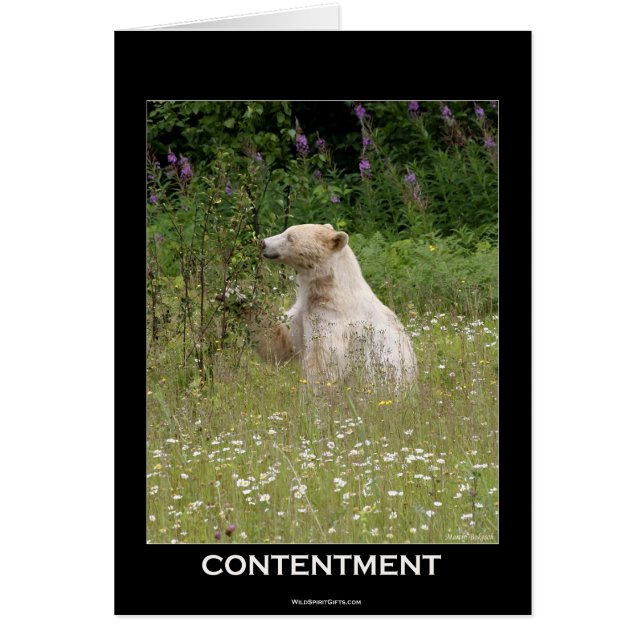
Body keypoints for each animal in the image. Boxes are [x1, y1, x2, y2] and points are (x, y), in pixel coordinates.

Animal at [254, 223, 417, 387]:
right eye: (286, 231)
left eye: (290, 237)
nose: (262, 243)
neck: (330, 290)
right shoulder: (303, 310)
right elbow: (281, 339)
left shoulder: (333, 318)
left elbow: (325, 359)